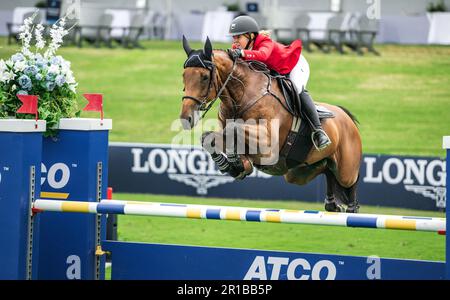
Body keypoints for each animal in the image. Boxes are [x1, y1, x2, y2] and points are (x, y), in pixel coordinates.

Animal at [179, 36, 362, 212]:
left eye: (204, 77)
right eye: (184, 76)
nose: (186, 118)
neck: (242, 96)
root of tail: (346, 117)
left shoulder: (267, 143)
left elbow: (233, 129)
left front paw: (235, 162)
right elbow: (208, 138)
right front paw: (233, 165)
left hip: (346, 169)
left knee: (350, 181)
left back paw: (351, 206)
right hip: (299, 172)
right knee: (327, 171)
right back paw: (331, 204)